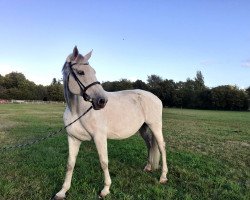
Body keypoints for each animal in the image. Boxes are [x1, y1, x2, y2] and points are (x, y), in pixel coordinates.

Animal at [54, 46, 168, 198]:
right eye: (80, 72)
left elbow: (104, 162)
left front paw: (105, 189)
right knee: (149, 144)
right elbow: (70, 164)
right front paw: (62, 191)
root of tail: (156, 97)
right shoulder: (73, 138)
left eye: (94, 71)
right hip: (143, 128)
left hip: (155, 126)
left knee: (161, 147)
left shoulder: (99, 138)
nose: (102, 101)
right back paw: (148, 167)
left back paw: (163, 177)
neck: (77, 111)